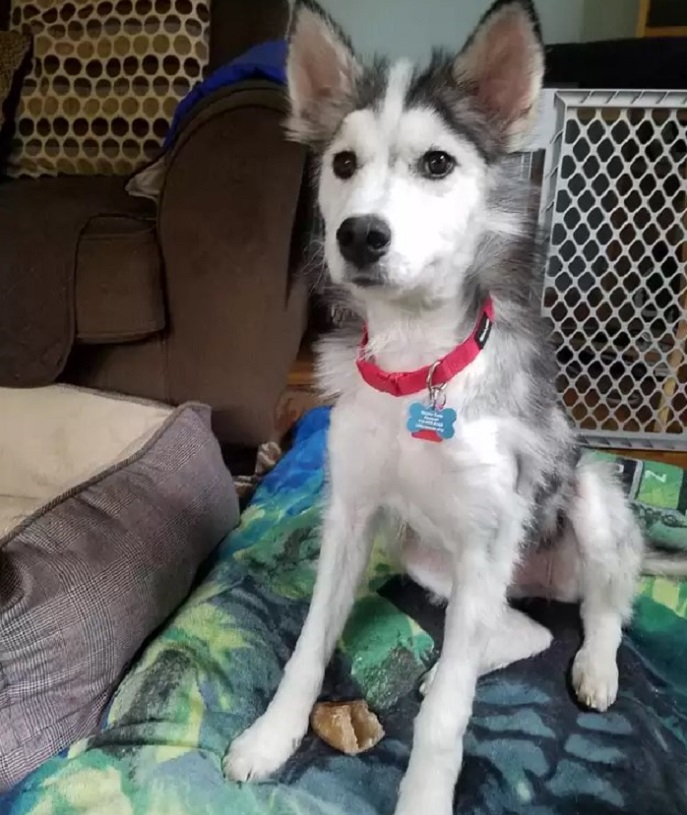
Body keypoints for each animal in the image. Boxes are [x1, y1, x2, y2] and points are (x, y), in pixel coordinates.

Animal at [224, 3, 644, 812]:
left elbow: (449, 715)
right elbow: (309, 644)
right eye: (342, 164)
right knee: (516, 634)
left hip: (585, 498)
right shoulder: (352, 517)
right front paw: (271, 737)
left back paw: (596, 669)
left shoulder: (486, 539)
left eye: (438, 164)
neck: (413, 371)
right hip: (427, 557)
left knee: (598, 610)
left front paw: (423, 794)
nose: (359, 234)